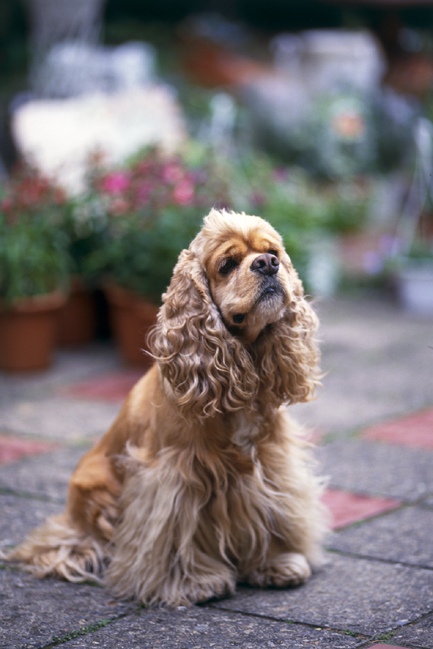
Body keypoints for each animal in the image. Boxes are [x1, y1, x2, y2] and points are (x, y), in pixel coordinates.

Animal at [7, 210, 328, 604]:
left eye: (274, 253)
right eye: (226, 265)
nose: (267, 264)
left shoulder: (270, 463)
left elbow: (271, 510)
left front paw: (275, 562)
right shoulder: (174, 476)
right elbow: (174, 533)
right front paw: (194, 583)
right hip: (96, 490)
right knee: (77, 537)